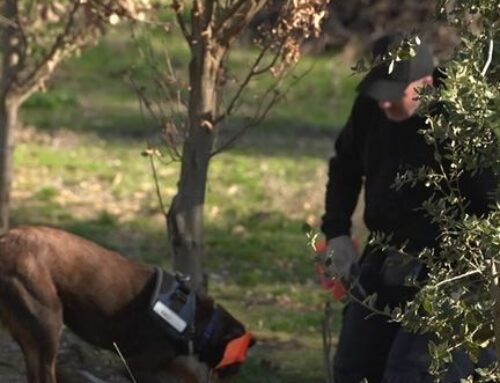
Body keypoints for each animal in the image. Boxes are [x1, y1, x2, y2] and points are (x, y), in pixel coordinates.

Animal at [0, 226, 252, 383]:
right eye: (237, 358)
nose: (238, 372)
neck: (201, 322)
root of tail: (5, 241)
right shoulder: (136, 365)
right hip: (47, 324)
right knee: (45, 374)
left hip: (32, 335)